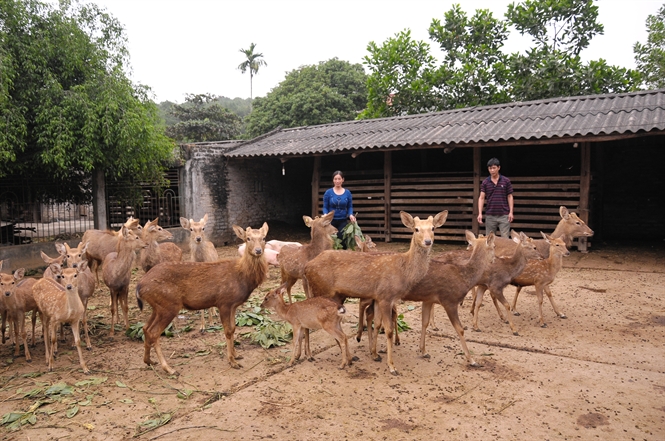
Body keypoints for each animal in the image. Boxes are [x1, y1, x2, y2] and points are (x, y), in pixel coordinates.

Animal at [135, 222, 270, 372]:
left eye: (264, 238)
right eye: (248, 238)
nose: (258, 250)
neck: (242, 275)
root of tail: (139, 286)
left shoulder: (233, 305)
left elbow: (234, 328)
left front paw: (237, 354)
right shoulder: (224, 302)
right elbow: (228, 331)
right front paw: (232, 361)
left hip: (158, 306)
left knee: (146, 328)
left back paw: (149, 361)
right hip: (169, 305)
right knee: (154, 332)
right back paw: (169, 368)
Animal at [304, 211, 446, 374]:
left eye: (433, 228)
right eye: (416, 229)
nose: (428, 241)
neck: (403, 271)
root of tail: (307, 267)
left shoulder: (379, 297)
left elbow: (377, 323)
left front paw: (375, 353)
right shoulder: (386, 296)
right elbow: (388, 330)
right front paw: (392, 366)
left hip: (334, 295)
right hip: (322, 290)